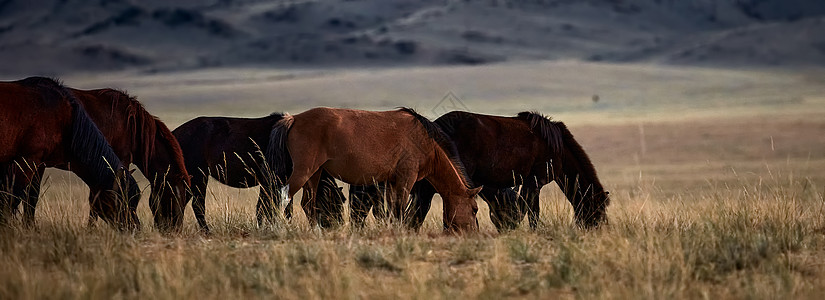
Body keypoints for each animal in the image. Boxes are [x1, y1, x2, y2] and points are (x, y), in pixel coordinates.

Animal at [172, 113, 342, 233]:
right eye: (336, 201)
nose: (338, 225)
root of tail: (176, 132)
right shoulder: (273, 180)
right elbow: (270, 207)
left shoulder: (274, 182)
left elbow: (273, 207)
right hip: (199, 176)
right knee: (197, 205)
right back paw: (206, 232)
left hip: (193, 178)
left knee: (183, 201)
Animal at [268, 107, 480, 232]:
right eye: (475, 209)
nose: (472, 233)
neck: (423, 140)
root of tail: (294, 119)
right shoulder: (406, 179)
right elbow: (399, 208)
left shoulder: (391, 182)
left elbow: (391, 209)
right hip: (304, 170)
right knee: (283, 195)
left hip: (315, 174)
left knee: (307, 203)